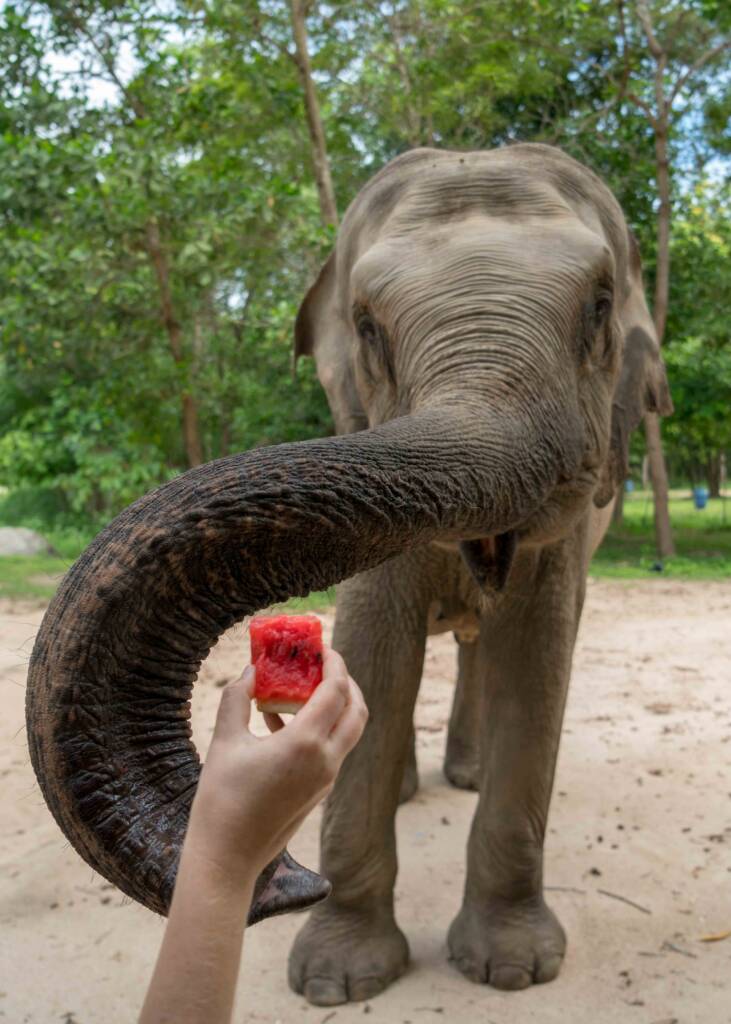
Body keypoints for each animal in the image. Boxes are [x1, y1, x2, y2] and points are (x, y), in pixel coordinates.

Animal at [27, 144, 667, 1007]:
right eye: (366, 325)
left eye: (598, 307)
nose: (287, 880)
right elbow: (374, 645)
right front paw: (337, 981)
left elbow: (537, 660)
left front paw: (510, 970)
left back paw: (465, 776)